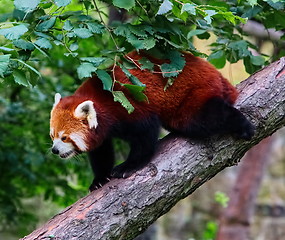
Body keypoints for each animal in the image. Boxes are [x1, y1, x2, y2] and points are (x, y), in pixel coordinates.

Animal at [48, 51, 253, 191]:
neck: (102, 101)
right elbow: (101, 152)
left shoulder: (129, 106)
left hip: (194, 95)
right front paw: (99, 179)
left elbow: (144, 136)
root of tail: (215, 73)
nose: (54, 150)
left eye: (64, 137)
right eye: (52, 136)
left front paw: (128, 167)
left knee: (203, 119)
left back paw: (243, 125)